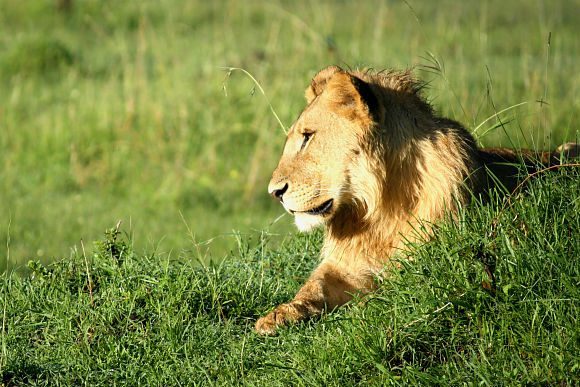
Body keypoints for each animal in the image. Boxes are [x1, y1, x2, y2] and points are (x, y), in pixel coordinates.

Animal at [256, 65, 576, 334]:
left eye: (308, 136)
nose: (274, 192)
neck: (379, 208)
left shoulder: (429, 268)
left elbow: (382, 296)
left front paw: (353, 312)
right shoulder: (344, 266)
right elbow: (312, 287)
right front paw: (278, 314)